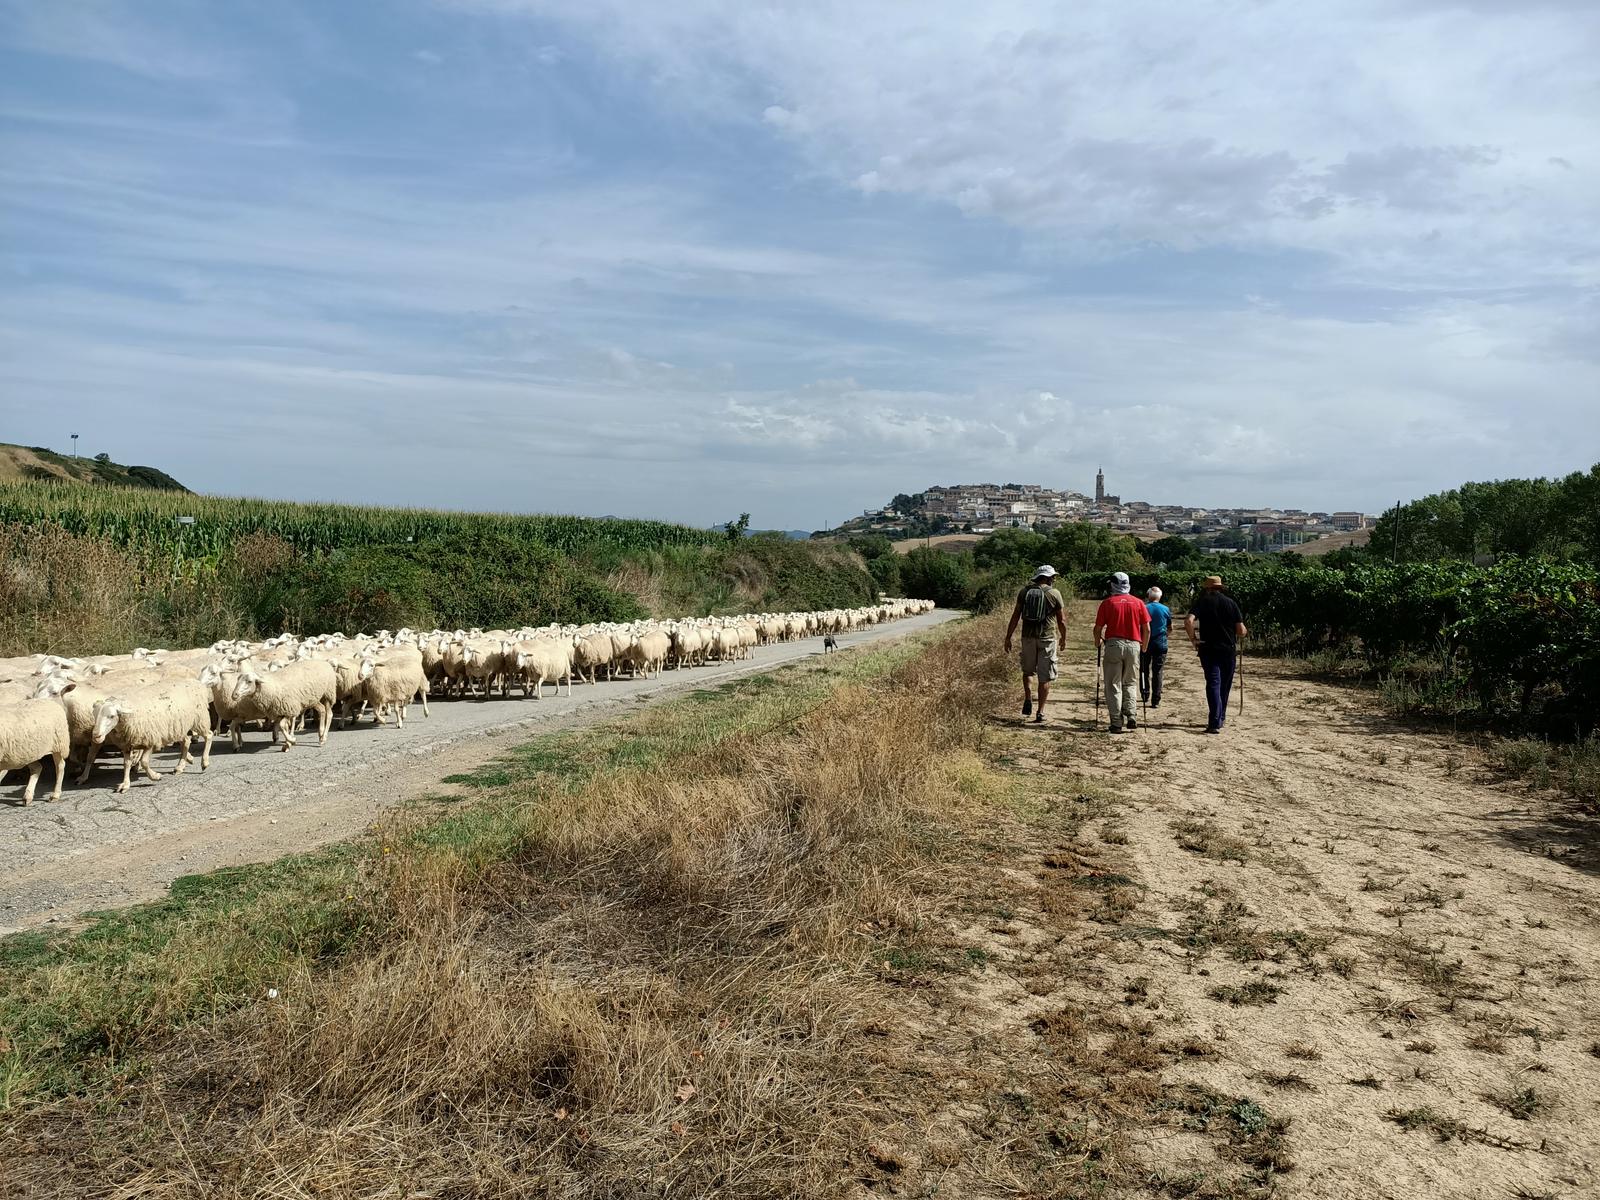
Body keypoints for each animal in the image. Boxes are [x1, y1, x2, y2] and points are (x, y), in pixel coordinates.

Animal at [80, 681, 212, 793]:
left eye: (112, 716)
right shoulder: (127, 744)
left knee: (208, 736)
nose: (96, 736)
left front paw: (155, 776)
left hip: (199, 719)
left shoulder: (151, 741)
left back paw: (204, 762)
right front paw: (125, 784)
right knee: (186, 741)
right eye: (94, 715)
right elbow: (126, 764)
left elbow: (144, 762)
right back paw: (179, 767)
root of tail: (195, 682)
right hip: (177, 727)